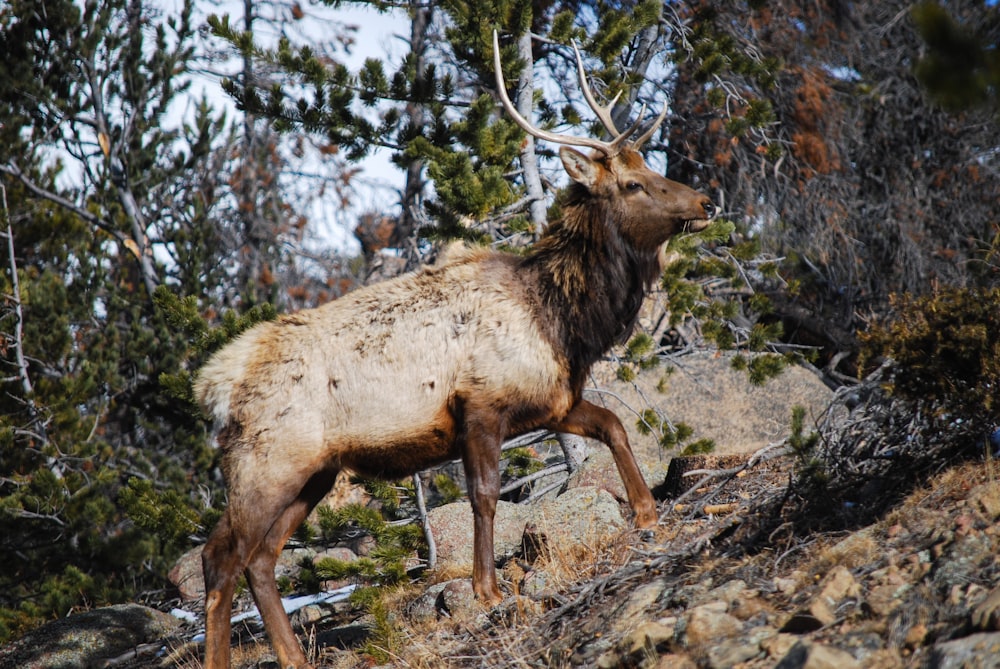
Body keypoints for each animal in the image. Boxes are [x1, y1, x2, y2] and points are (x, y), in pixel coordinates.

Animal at [191, 31, 716, 668]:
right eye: (634, 183)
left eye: (649, 167)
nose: (705, 201)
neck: (563, 323)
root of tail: (212, 386)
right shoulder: (481, 408)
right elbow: (484, 496)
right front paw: (487, 589)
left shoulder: (552, 403)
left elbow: (614, 424)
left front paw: (646, 512)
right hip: (265, 464)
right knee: (220, 558)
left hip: (314, 473)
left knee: (261, 559)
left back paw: (294, 656)